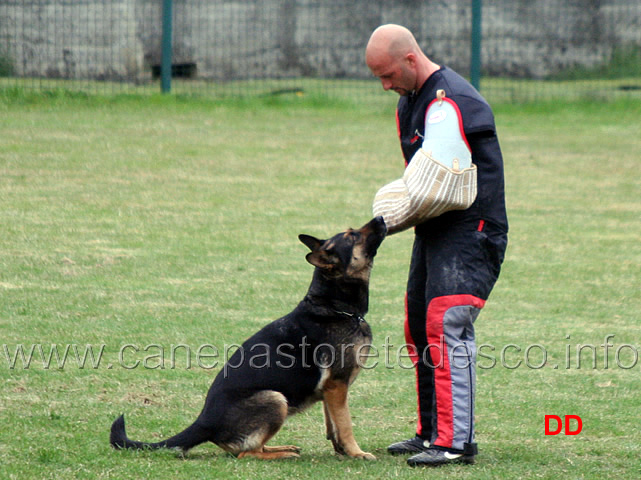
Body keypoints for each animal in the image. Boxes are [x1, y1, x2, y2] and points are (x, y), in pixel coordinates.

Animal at [110, 216, 384, 460]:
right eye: (352, 236)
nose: (381, 218)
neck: (333, 305)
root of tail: (203, 422)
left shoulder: (331, 389)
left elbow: (333, 424)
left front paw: (342, 451)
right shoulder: (337, 386)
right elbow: (345, 424)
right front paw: (357, 453)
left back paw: (281, 448)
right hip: (276, 399)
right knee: (246, 453)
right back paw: (282, 454)